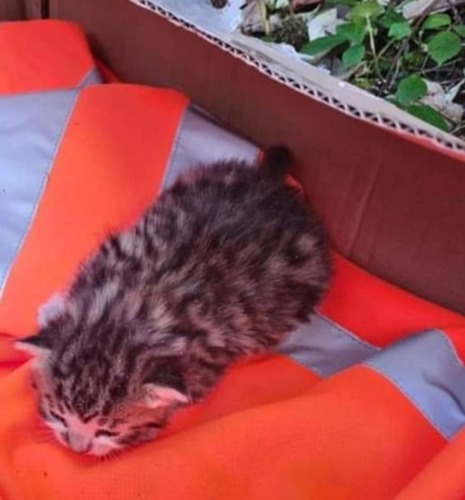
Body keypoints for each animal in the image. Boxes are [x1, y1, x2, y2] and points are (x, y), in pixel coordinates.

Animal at [16, 146, 332, 458]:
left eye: (107, 432)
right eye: (59, 415)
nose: (77, 448)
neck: (129, 310)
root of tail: (271, 184)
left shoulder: (200, 369)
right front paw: (51, 311)